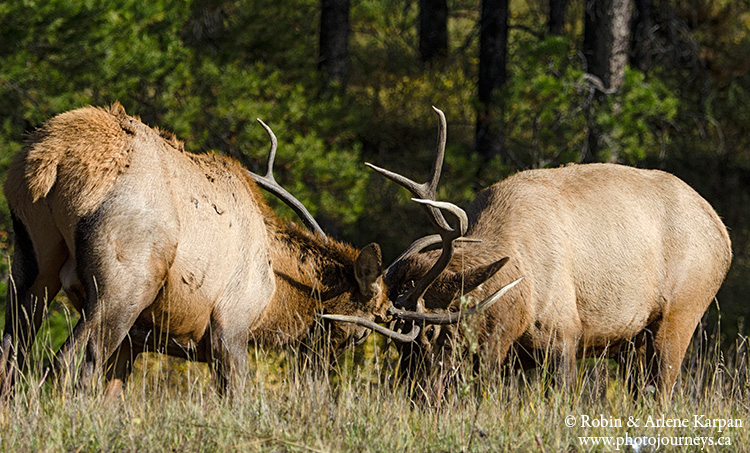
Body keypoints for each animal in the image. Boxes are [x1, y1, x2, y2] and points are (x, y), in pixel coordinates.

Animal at [0, 101, 446, 396]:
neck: (274, 293)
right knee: (71, 361)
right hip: (126, 280)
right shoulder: (230, 326)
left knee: (13, 353)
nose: (317, 379)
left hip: (30, 265)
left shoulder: (138, 340)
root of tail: (51, 157)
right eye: (360, 330)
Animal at [362, 106, 732, 400]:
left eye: (432, 333)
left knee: (661, 393)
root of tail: (723, 234)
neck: (520, 297)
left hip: (679, 316)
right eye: (398, 344)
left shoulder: (564, 334)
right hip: (632, 341)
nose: (420, 398)